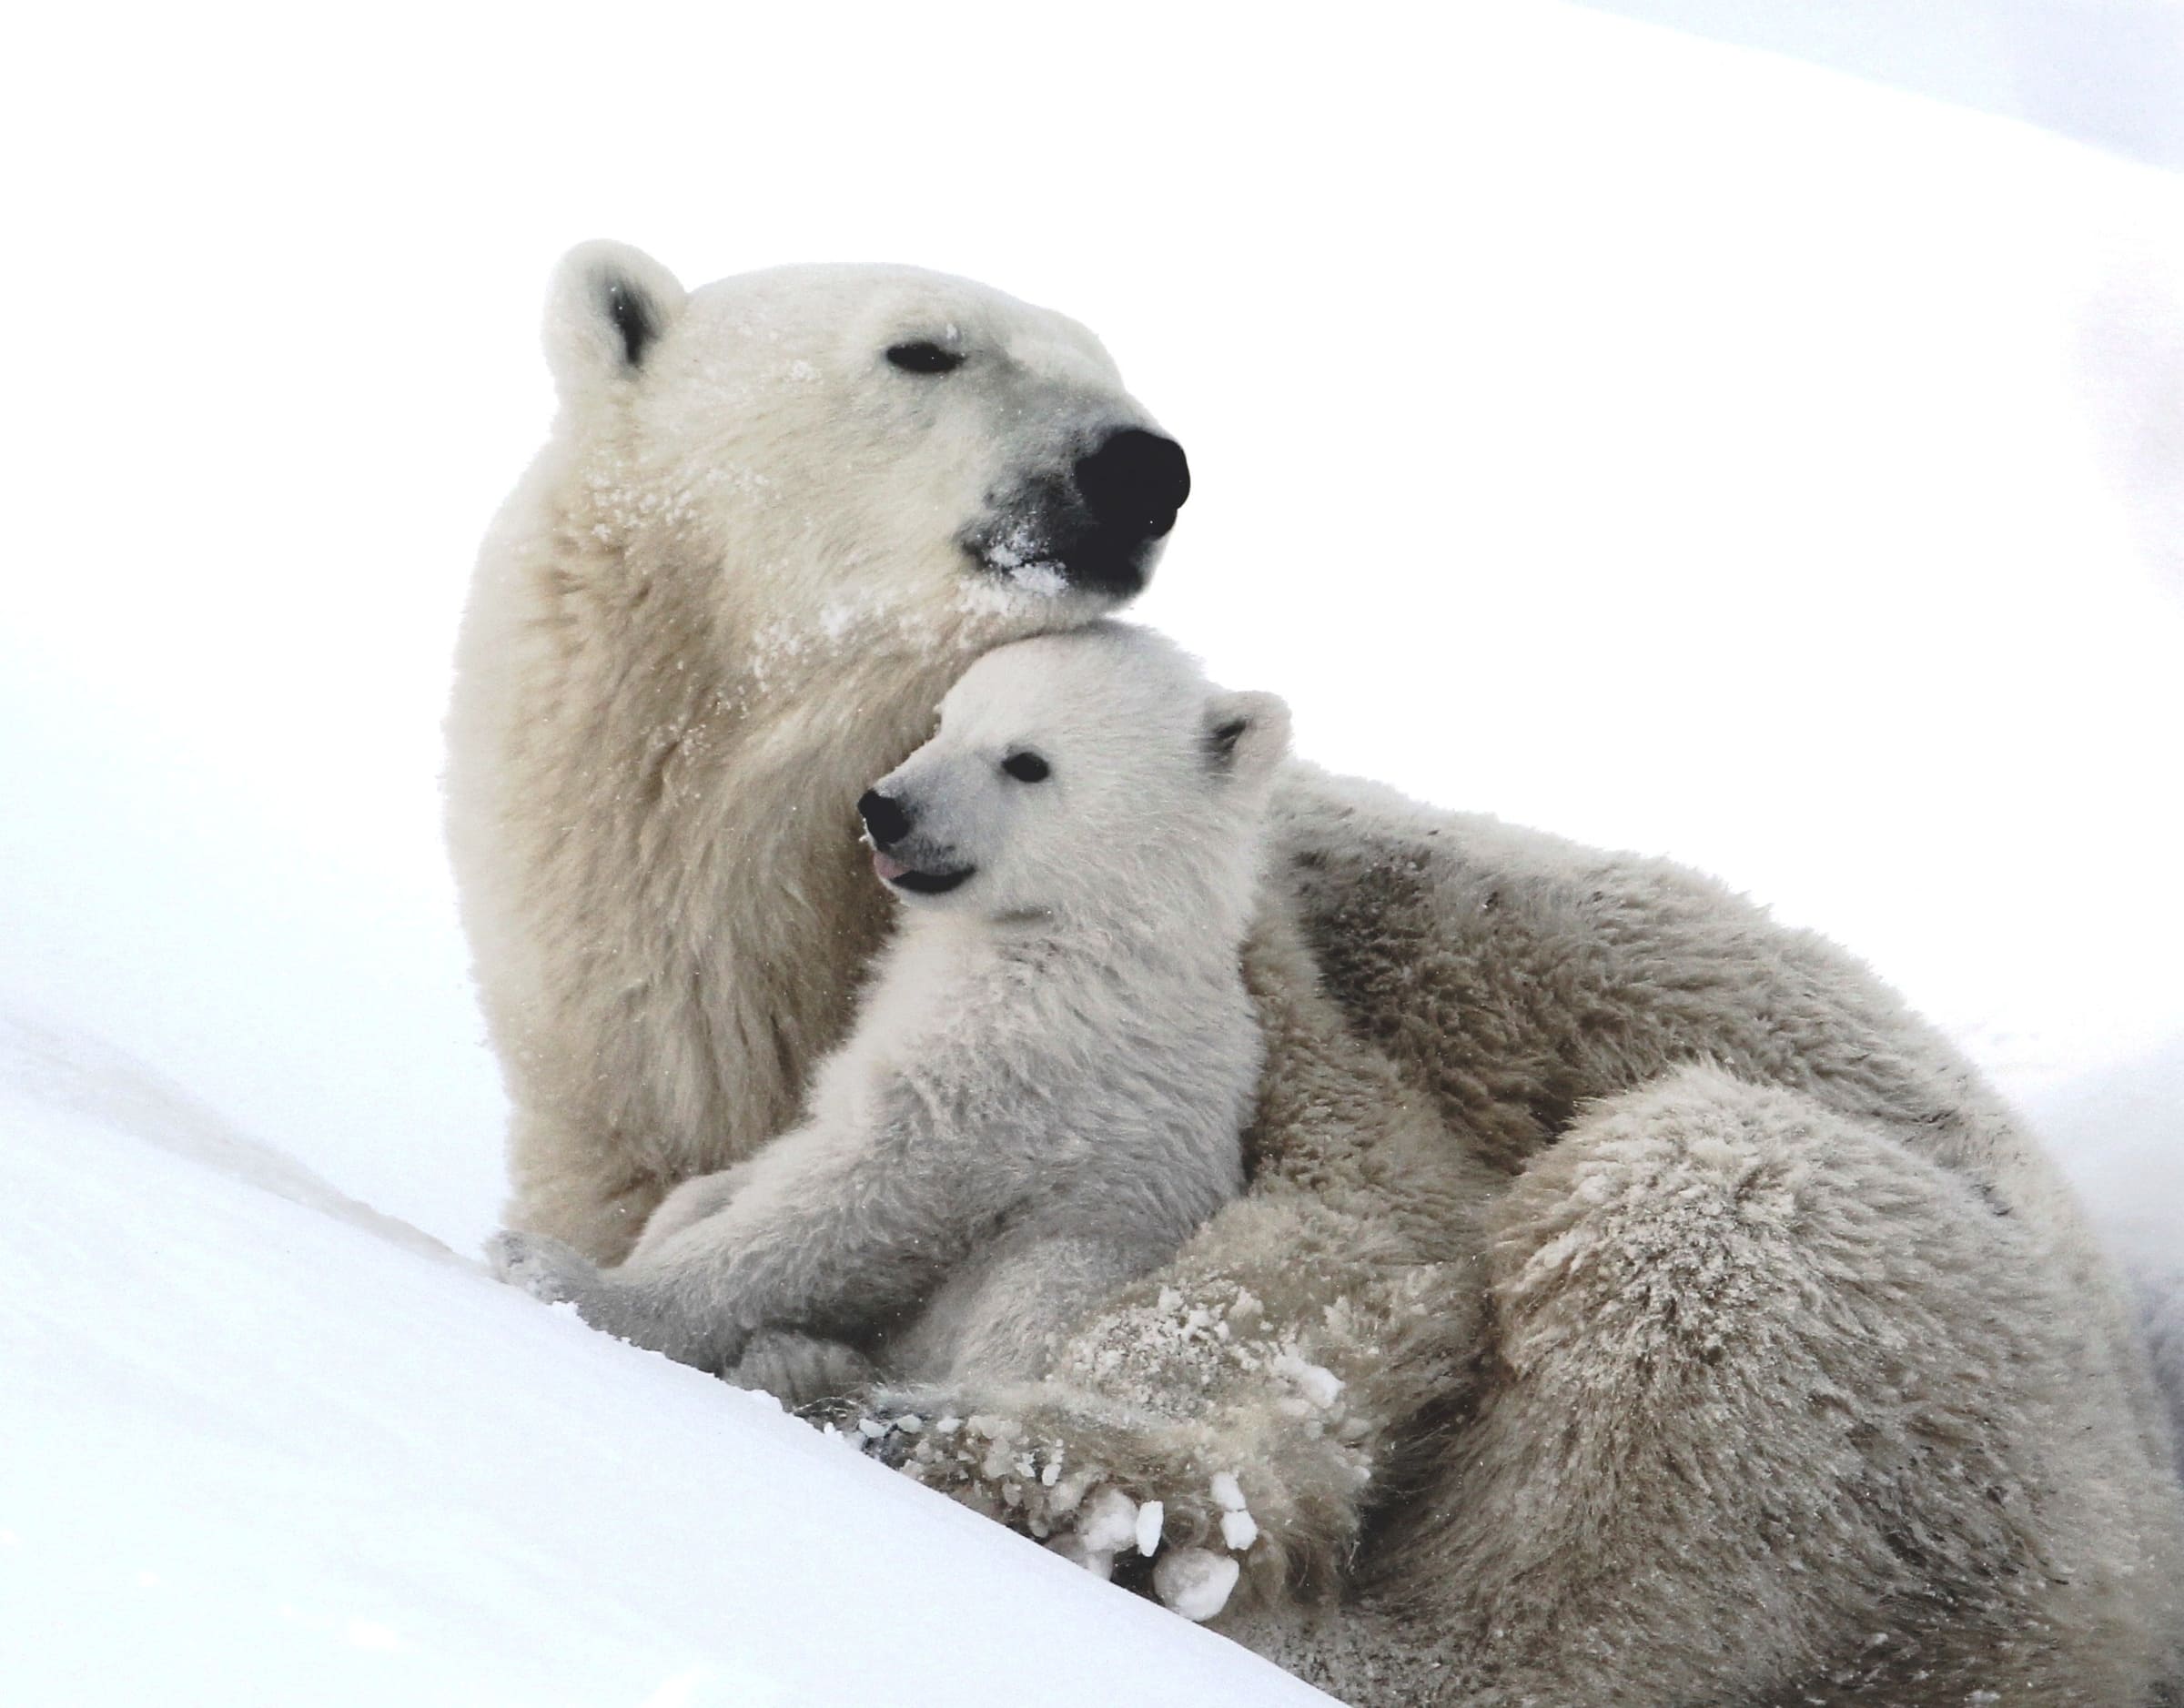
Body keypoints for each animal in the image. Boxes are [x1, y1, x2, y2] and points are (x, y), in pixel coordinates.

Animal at [448, 244, 2184, 1708]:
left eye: (1110, 356)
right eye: (923, 346)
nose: (1141, 464)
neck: (770, 923)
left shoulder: (1256, 994)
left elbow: (1348, 1233)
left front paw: (1081, 1456)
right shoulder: (629, 1086)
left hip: (1943, 1384)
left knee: (1692, 1261)